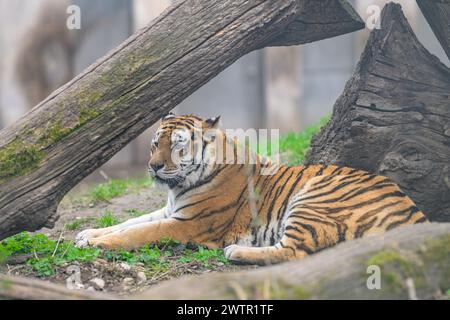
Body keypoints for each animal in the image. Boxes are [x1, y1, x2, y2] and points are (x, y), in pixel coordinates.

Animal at [76, 114, 428, 264]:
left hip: (313, 199)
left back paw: (236, 252)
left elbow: (141, 232)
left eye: (177, 145)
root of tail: (415, 214)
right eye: (154, 144)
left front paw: (96, 243)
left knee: (294, 251)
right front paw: (88, 234)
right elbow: (130, 222)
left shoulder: (190, 223)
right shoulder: (170, 210)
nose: (153, 166)